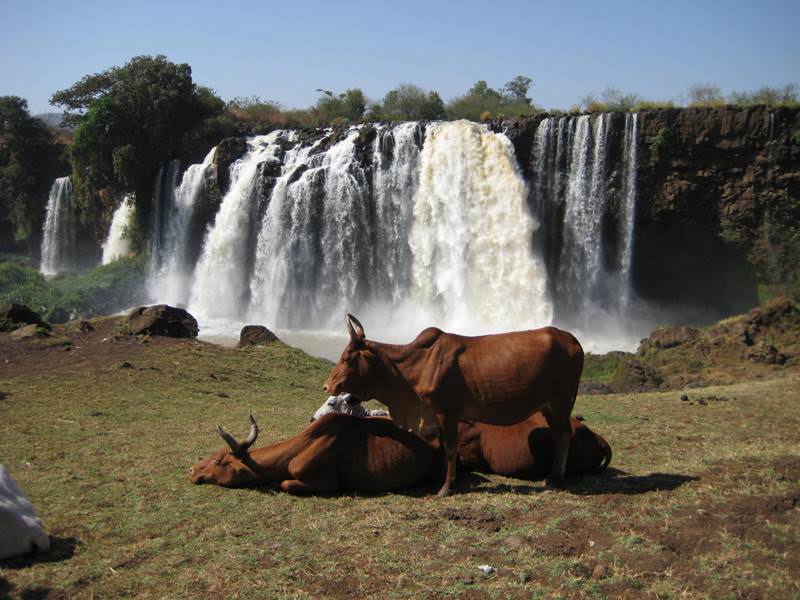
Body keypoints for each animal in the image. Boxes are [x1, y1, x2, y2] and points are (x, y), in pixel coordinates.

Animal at [322, 314, 584, 496]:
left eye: (346, 358)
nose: (326, 386)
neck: (416, 366)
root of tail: (572, 340)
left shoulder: (447, 412)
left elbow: (450, 448)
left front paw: (447, 487)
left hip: (560, 402)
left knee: (563, 435)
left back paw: (555, 479)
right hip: (551, 406)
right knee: (560, 435)